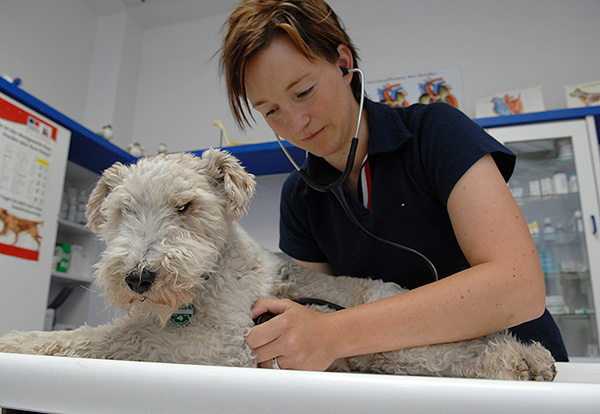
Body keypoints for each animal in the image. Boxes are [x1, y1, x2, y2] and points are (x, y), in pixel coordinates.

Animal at [0, 150, 556, 380]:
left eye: (186, 206)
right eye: (122, 211)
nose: (139, 278)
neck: (208, 280)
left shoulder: (224, 344)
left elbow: (112, 338)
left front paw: (18, 341)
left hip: (403, 337)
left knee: (475, 347)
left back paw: (524, 362)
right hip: (397, 354)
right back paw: (531, 363)